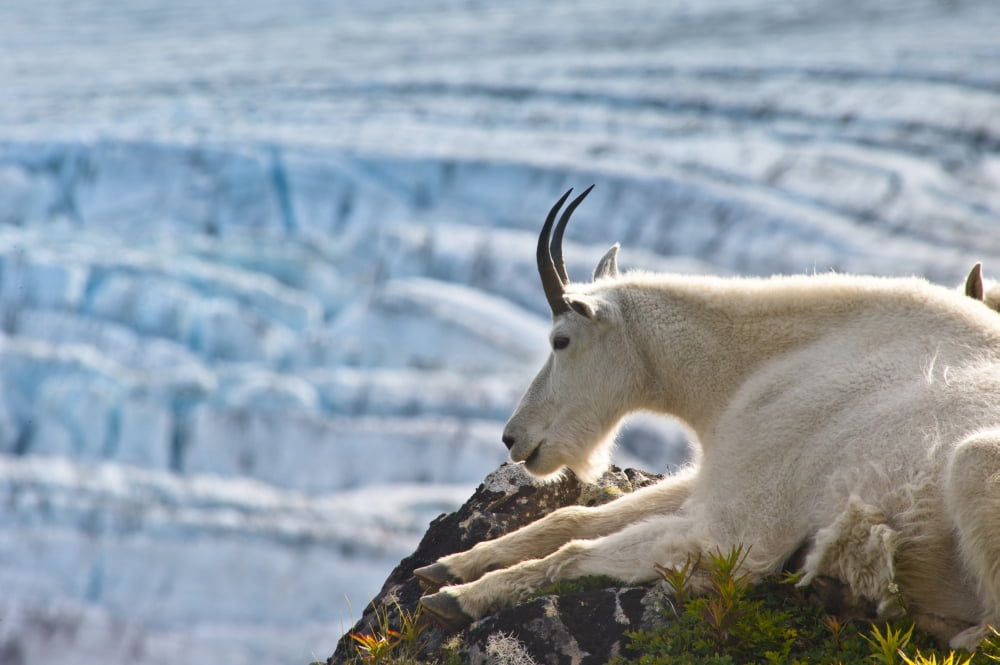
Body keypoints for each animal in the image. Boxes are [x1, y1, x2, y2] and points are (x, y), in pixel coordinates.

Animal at [416, 188, 1000, 650]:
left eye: (561, 340)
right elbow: (574, 518)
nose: (513, 438)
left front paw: (459, 596)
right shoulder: (718, 477)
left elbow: (575, 552)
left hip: (975, 461)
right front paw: (448, 566)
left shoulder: (737, 536)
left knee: (987, 631)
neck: (754, 369)